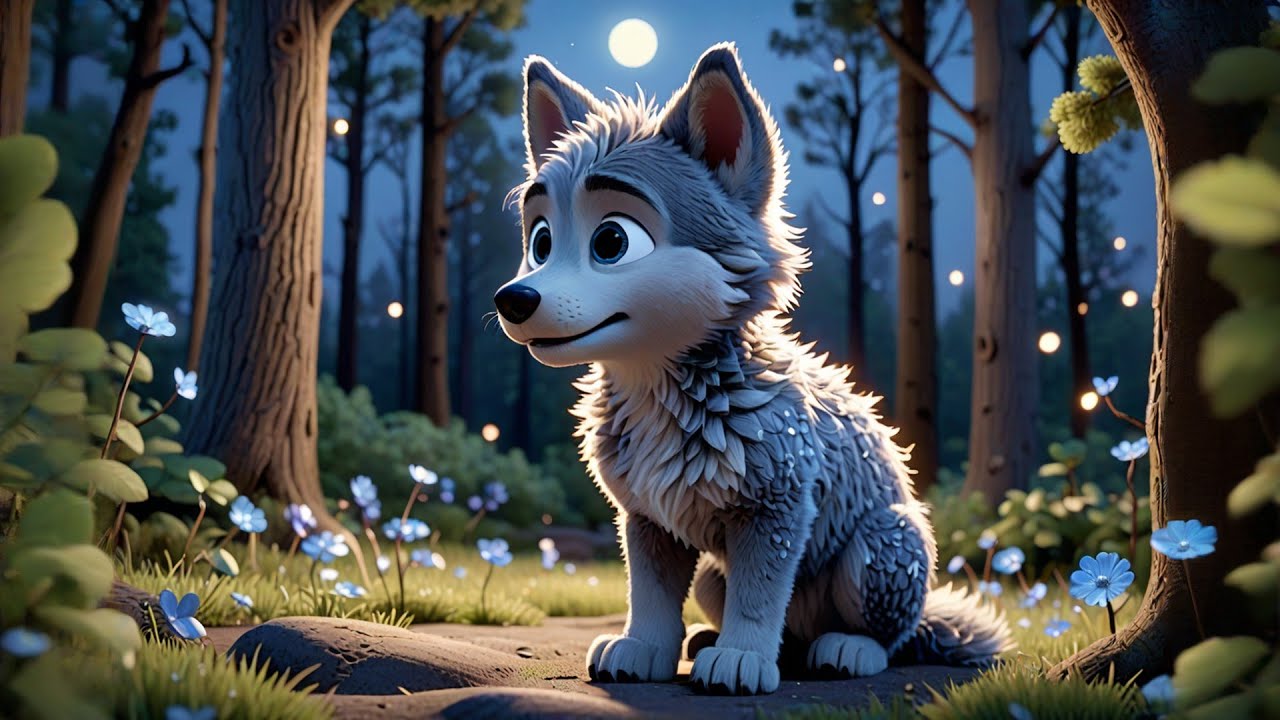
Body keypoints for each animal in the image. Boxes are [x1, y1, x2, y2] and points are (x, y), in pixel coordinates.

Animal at [494, 43, 1011, 696]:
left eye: (611, 241)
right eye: (540, 241)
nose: (512, 299)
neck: (662, 388)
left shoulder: (779, 508)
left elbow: (760, 597)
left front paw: (741, 660)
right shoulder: (646, 515)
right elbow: (651, 595)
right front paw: (642, 650)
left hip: (885, 546)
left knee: (889, 637)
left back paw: (845, 649)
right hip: (716, 574)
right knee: (775, 624)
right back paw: (729, 642)